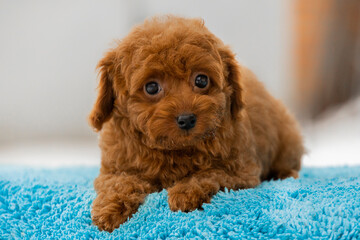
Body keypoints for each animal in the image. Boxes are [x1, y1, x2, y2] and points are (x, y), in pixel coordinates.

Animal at [88, 15, 302, 232]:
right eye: (151, 87)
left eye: (201, 80)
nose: (187, 119)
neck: (174, 149)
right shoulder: (114, 166)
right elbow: (118, 182)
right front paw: (109, 209)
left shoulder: (242, 172)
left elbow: (211, 173)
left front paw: (186, 192)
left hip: (288, 138)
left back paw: (284, 174)